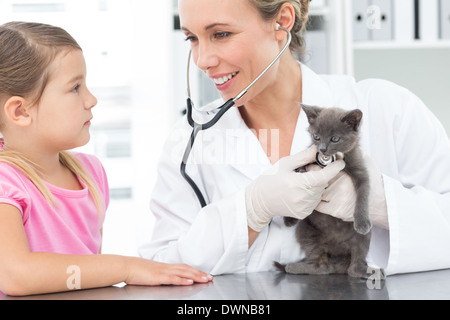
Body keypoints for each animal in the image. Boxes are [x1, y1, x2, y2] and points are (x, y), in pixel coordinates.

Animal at [276, 104, 378, 278]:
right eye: (316, 136)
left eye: (335, 138)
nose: (323, 149)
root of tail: (337, 250)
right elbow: (296, 175)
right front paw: (289, 217)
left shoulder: (360, 171)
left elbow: (363, 193)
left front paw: (362, 221)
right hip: (306, 230)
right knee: (322, 267)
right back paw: (295, 267)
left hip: (363, 238)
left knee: (352, 267)